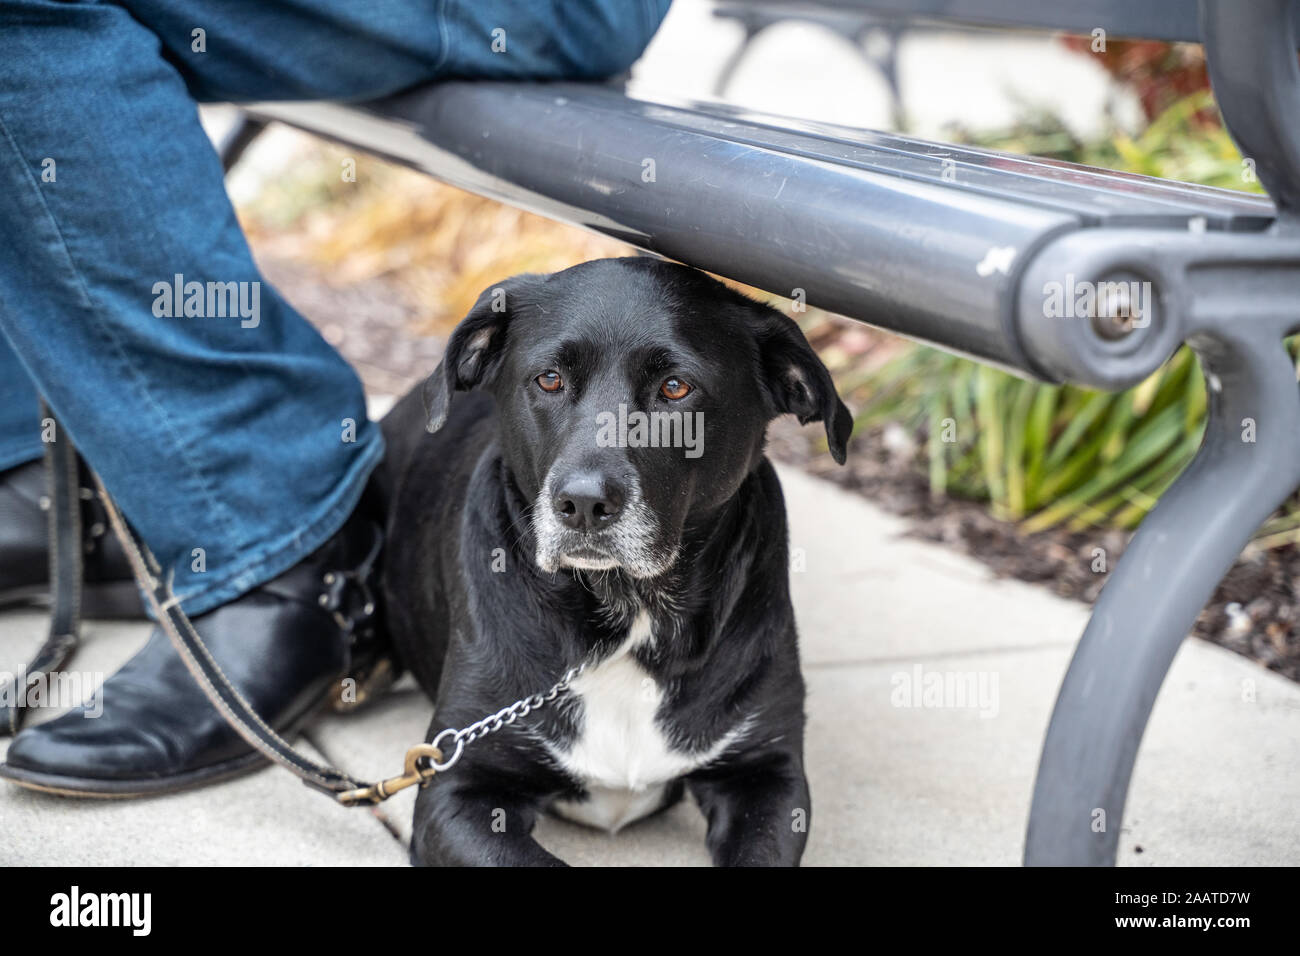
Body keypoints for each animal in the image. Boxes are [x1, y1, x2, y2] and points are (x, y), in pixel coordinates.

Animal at [379, 257, 847, 868]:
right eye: (549, 379)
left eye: (675, 387)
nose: (582, 504)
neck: (631, 620)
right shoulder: (457, 787)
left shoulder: (769, 774)